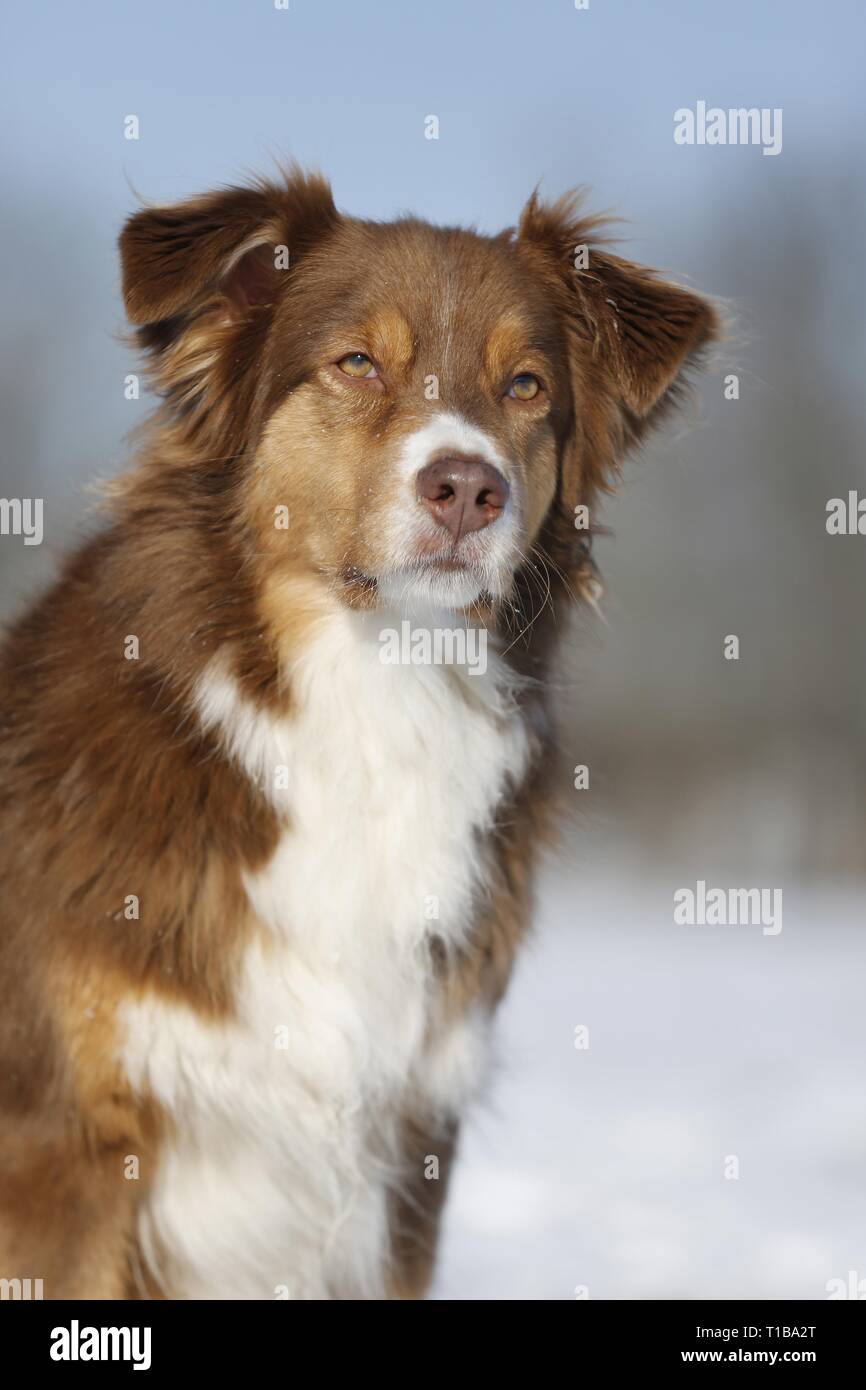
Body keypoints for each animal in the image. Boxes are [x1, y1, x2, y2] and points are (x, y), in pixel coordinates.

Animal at [0, 168, 717, 1295]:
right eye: (355, 363)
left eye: (525, 385)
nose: (467, 487)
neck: (372, 690)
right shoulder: (59, 1145)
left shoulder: (409, 1147)